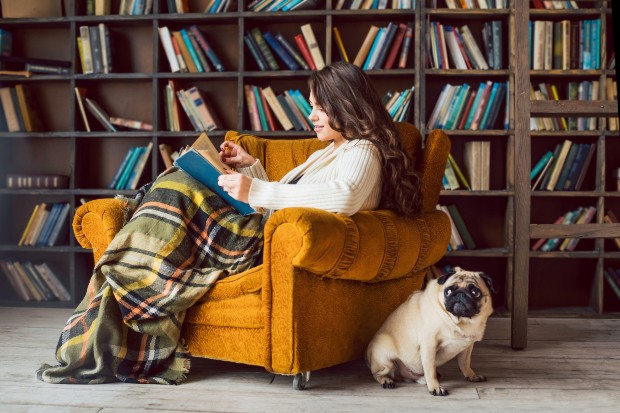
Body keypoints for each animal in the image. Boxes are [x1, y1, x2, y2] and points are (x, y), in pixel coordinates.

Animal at [366, 266, 496, 394]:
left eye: (475, 292)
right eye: (448, 291)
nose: (460, 294)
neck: (460, 322)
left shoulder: (467, 347)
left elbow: (465, 363)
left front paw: (471, 375)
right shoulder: (429, 346)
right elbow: (430, 371)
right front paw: (435, 388)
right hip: (385, 358)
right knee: (377, 374)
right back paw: (386, 381)